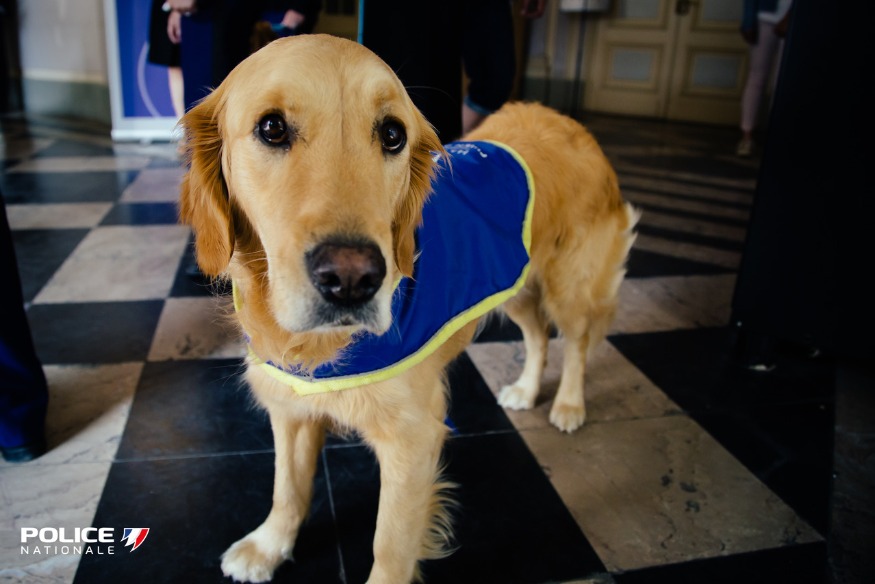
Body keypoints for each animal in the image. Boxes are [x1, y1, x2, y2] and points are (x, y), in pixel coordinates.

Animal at [181, 35, 640, 584]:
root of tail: (570, 122)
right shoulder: (289, 405)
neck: (325, 348)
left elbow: (390, 545)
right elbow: (287, 488)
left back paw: (568, 404)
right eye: (271, 127)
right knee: (538, 337)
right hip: (516, 285)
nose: (352, 279)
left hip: (567, 284)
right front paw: (268, 546)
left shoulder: (413, 438)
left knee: (575, 341)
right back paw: (527, 390)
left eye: (393, 134)